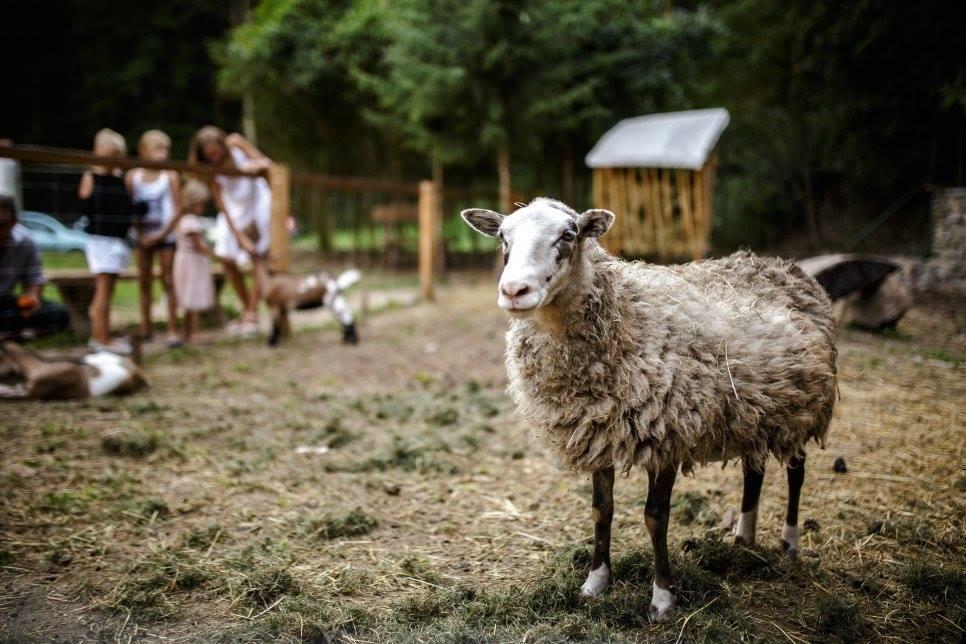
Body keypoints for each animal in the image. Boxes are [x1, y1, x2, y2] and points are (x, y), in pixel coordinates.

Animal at [464, 199, 840, 620]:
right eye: (502, 237)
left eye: (568, 235)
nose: (514, 291)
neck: (625, 313)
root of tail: (786, 265)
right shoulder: (597, 433)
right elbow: (602, 510)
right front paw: (596, 582)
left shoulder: (666, 436)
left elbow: (655, 517)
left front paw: (663, 597)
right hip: (755, 411)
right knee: (753, 471)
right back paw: (743, 539)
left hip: (805, 408)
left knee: (796, 473)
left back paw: (790, 543)